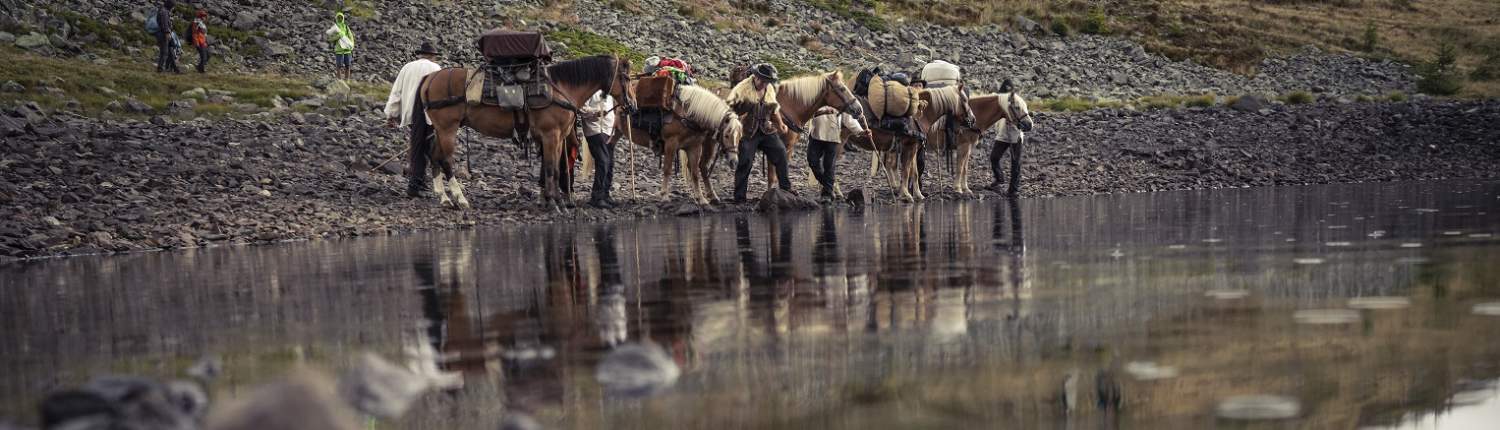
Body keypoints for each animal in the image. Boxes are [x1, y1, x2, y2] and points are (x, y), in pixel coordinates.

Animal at [414, 54, 636, 211]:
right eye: (625, 78)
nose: (633, 106)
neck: (560, 88)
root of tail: (429, 78)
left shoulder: (557, 138)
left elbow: (555, 168)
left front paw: (554, 200)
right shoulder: (550, 135)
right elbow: (551, 168)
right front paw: (554, 204)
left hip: (441, 129)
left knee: (434, 156)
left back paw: (443, 198)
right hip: (447, 128)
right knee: (446, 160)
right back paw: (460, 199)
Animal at [615, 85, 744, 206]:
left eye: (740, 137)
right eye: (727, 135)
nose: (735, 162)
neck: (686, 114)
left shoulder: (694, 147)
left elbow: (695, 173)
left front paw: (701, 198)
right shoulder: (671, 144)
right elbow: (667, 169)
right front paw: (664, 195)